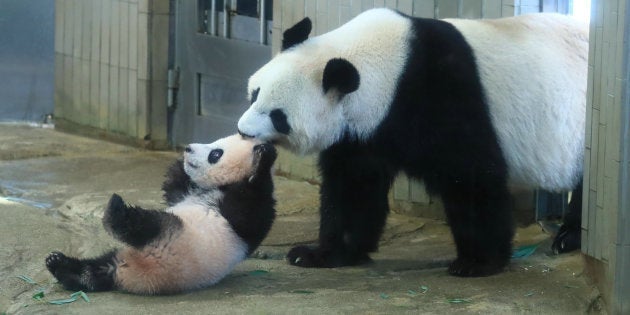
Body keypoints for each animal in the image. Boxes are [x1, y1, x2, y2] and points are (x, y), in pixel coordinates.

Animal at [45, 135, 278, 296]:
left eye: (215, 154)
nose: (188, 148)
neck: (221, 186)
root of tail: (130, 275)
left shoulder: (244, 214)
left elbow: (250, 213)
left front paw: (264, 157)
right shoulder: (185, 194)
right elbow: (173, 187)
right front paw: (179, 161)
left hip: (172, 237)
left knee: (144, 225)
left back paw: (116, 210)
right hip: (126, 254)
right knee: (96, 270)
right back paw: (59, 263)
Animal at [239, 8, 592, 278]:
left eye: (278, 116)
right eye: (255, 93)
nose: (243, 131)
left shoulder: (441, 92)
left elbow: (472, 176)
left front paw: (477, 262)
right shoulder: (363, 130)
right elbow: (353, 186)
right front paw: (320, 253)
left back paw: (569, 237)